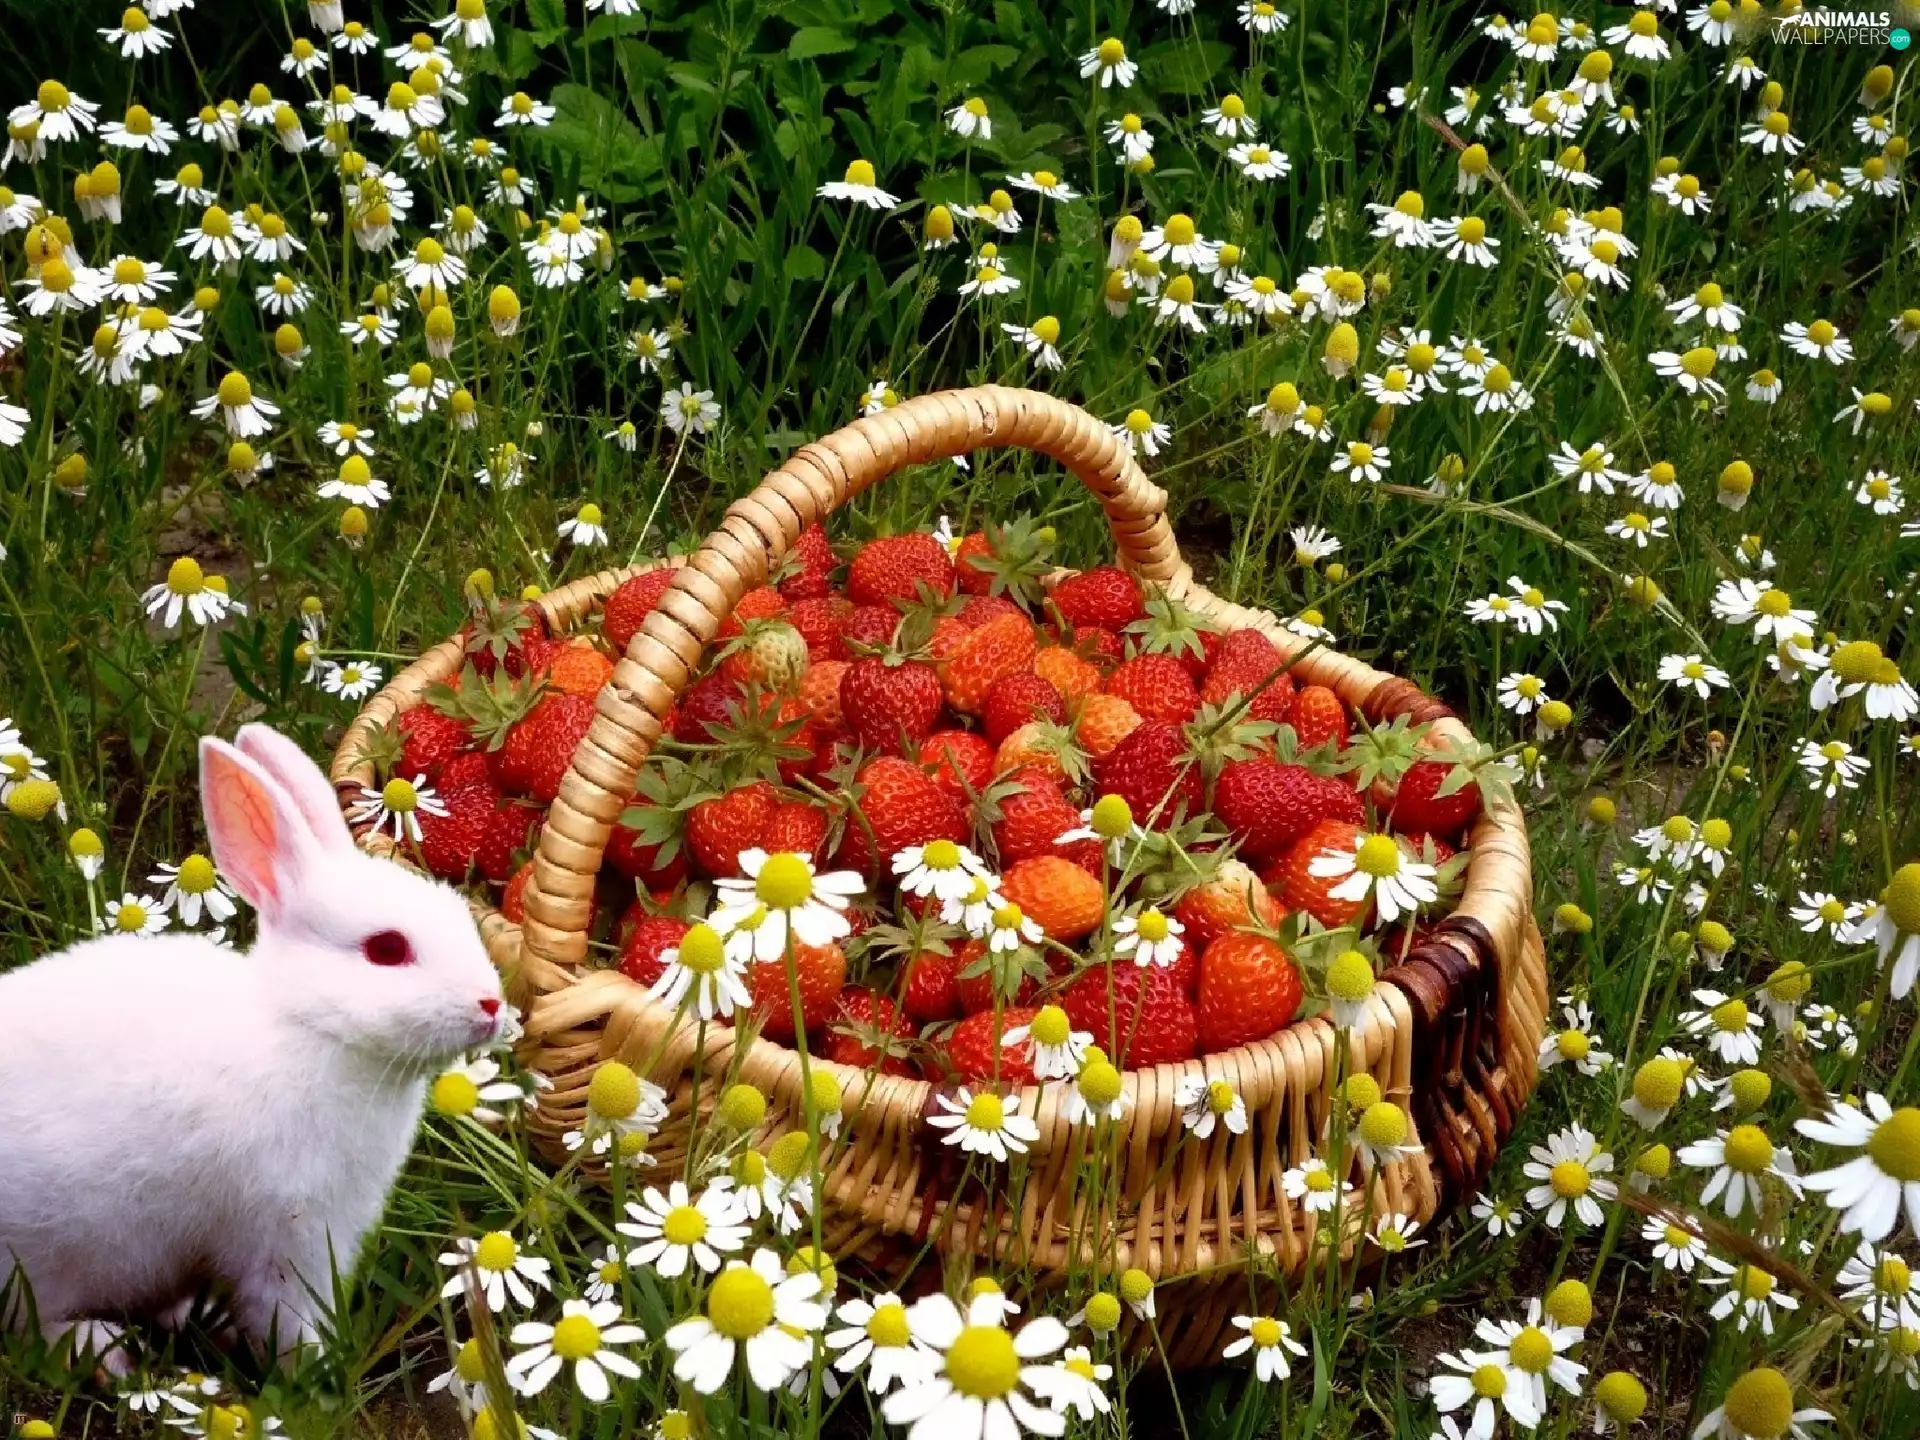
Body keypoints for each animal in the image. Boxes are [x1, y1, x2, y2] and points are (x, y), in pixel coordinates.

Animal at [0, 723, 506, 1375]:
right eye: (388, 949)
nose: (491, 1004)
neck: (308, 1027)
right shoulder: (289, 1236)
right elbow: (286, 1315)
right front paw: (315, 1366)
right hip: (41, 1257)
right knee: (29, 1327)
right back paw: (105, 1351)